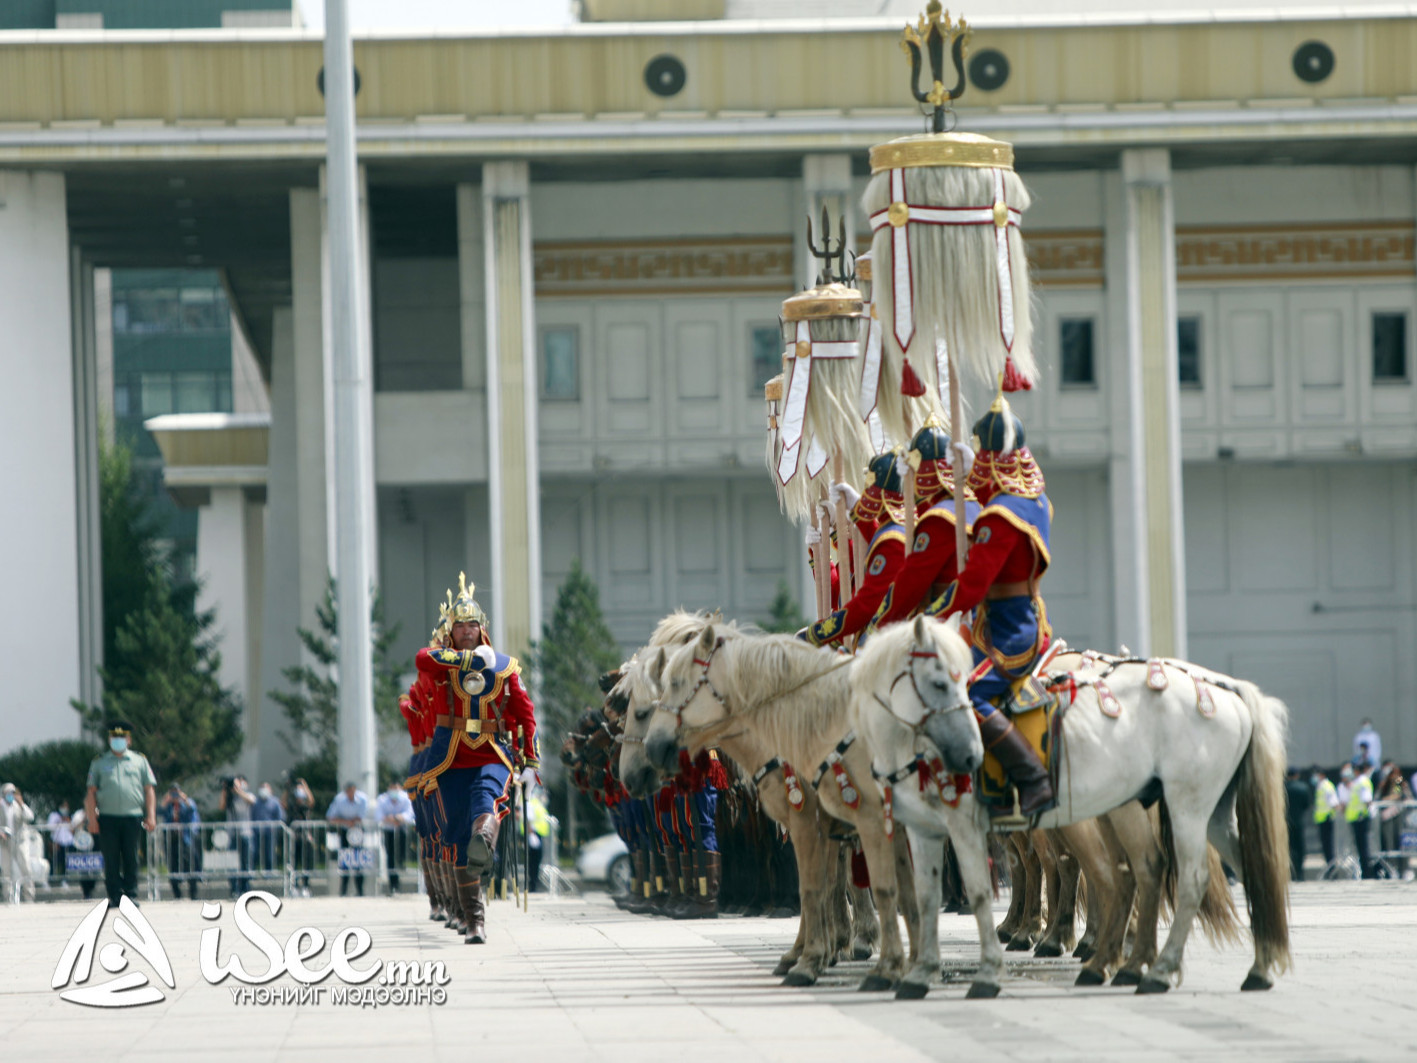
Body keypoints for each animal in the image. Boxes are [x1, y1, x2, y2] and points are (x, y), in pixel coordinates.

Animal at [850, 620, 1297, 1003]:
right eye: (939, 683)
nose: (968, 755)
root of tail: (1224, 688)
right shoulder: (922, 830)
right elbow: (925, 896)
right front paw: (920, 973)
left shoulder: (962, 827)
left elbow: (978, 892)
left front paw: (987, 972)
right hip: (1210, 810)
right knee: (1248, 869)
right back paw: (1252, 967)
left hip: (1185, 805)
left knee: (1182, 878)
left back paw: (1153, 968)